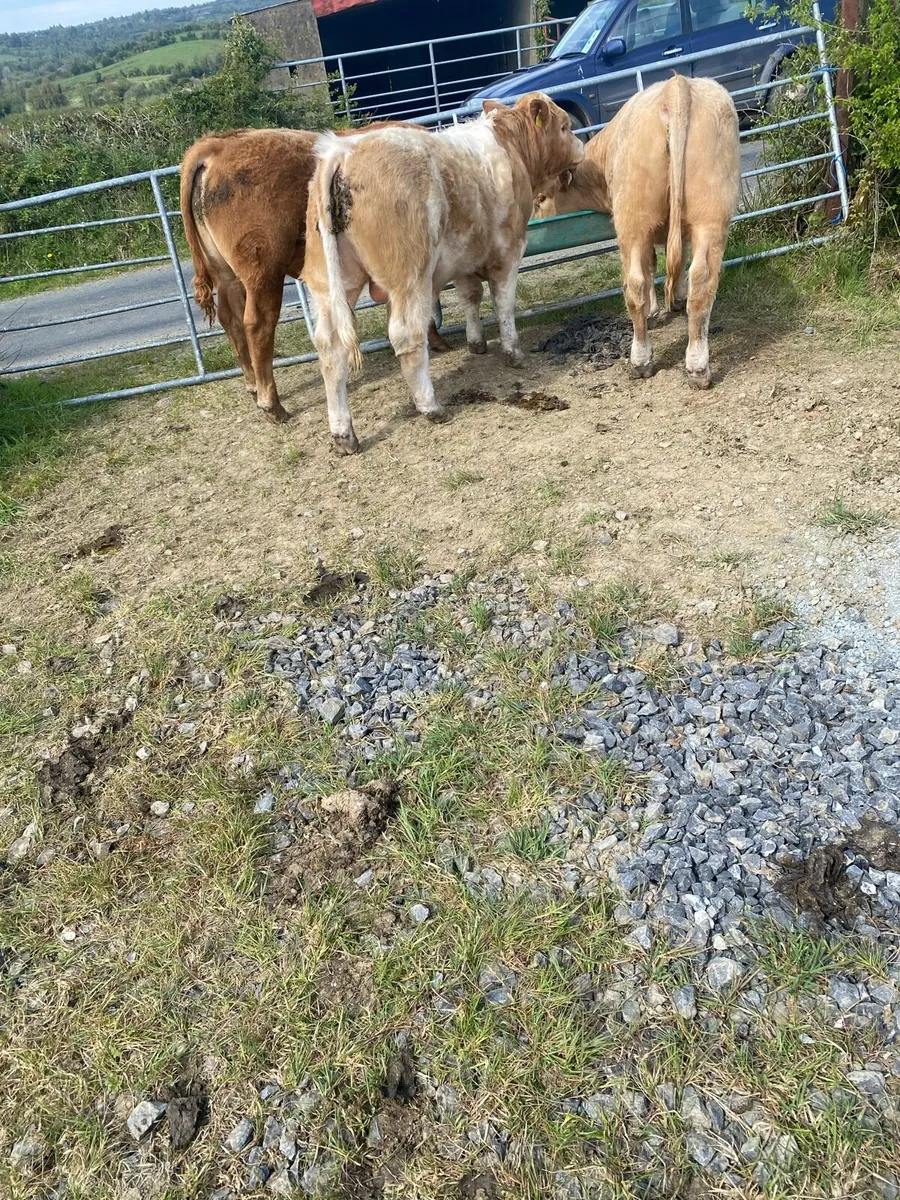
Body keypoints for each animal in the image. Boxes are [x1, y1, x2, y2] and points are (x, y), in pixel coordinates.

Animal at [179, 125, 450, 425]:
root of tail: (216, 145)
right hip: (264, 271)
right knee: (257, 323)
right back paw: (272, 404)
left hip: (226, 275)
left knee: (231, 319)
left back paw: (252, 385)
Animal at [302, 92, 585, 454]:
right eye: (564, 126)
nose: (581, 145)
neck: (511, 146)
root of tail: (343, 150)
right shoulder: (509, 251)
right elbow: (503, 303)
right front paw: (513, 352)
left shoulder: (463, 258)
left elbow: (470, 297)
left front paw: (476, 342)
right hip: (409, 278)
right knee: (406, 335)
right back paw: (430, 406)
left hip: (329, 287)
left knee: (330, 347)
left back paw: (344, 433)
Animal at [534, 75, 740, 389]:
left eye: (541, 198)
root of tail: (676, 86)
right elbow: (671, 258)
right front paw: (673, 299)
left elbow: (654, 263)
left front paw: (660, 307)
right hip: (708, 215)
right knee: (700, 280)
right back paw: (696, 366)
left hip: (634, 219)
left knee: (635, 283)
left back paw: (643, 360)